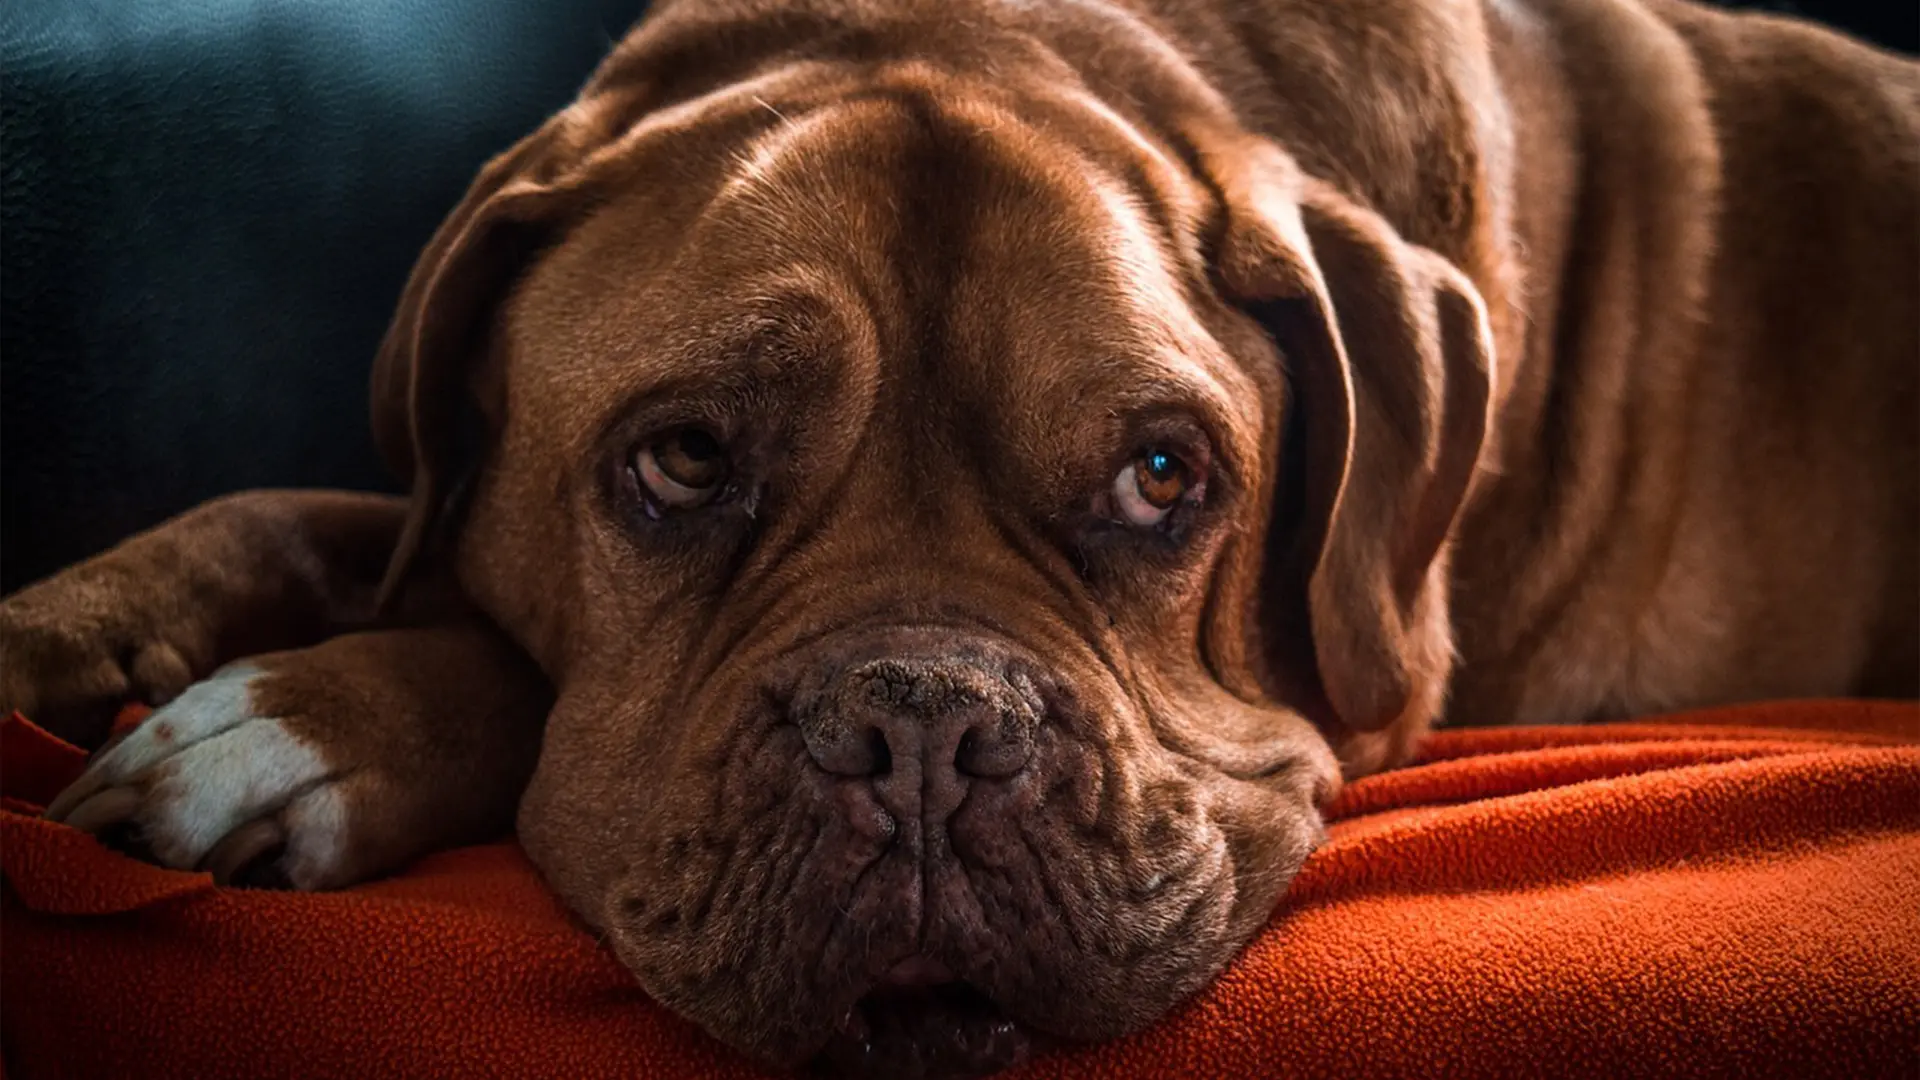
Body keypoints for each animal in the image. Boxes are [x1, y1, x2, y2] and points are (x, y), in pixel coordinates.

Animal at [7, 0, 1912, 1068]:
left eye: (1164, 475)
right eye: (683, 459)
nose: (924, 731)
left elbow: (494, 659)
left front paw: (296, 729)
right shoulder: (431, 498)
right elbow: (330, 514)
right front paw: (85, 622)